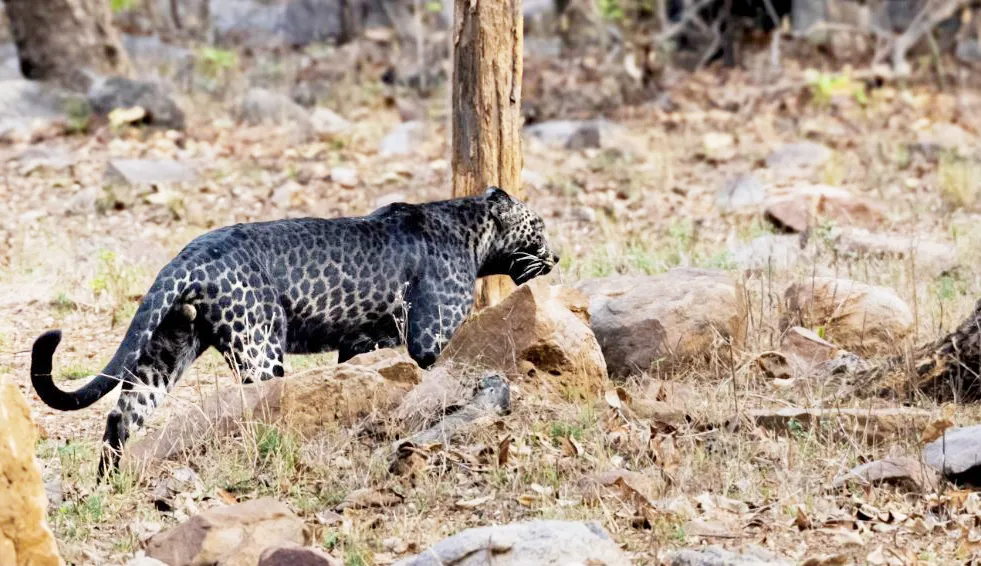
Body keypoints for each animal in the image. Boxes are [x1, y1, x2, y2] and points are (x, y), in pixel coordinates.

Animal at [30, 187, 559, 478]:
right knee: (254, 407)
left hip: (165, 351)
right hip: (259, 346)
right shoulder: (430, 336)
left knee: (121, 418)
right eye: (539, 226)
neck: (471, 232)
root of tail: (188, 254)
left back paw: (109, 488)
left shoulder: (366, 341)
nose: (556, 256)